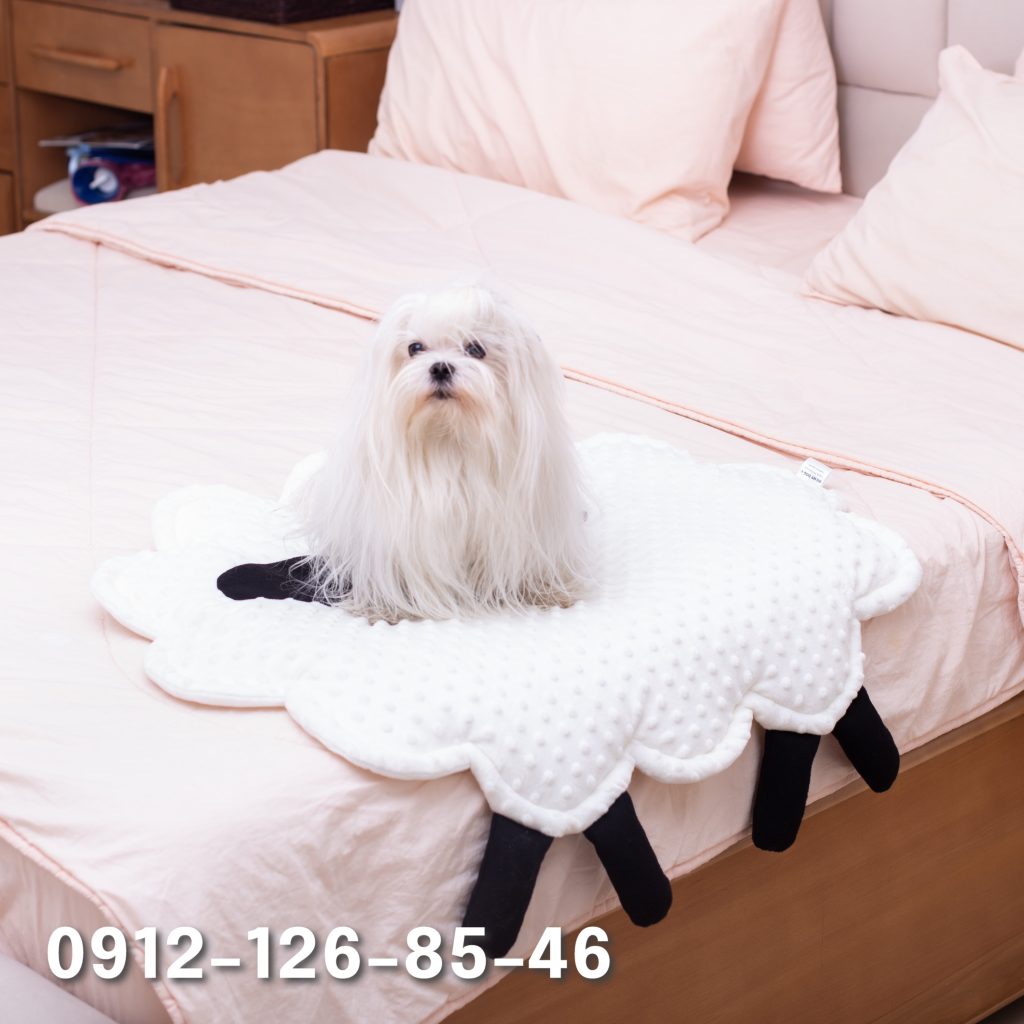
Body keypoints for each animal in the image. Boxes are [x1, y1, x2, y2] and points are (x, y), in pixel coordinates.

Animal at [296, 280, 589, 618]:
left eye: (475, 349)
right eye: (415, 348)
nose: (440, 368)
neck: (449, 434)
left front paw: (544, 590)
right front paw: (389, 608)